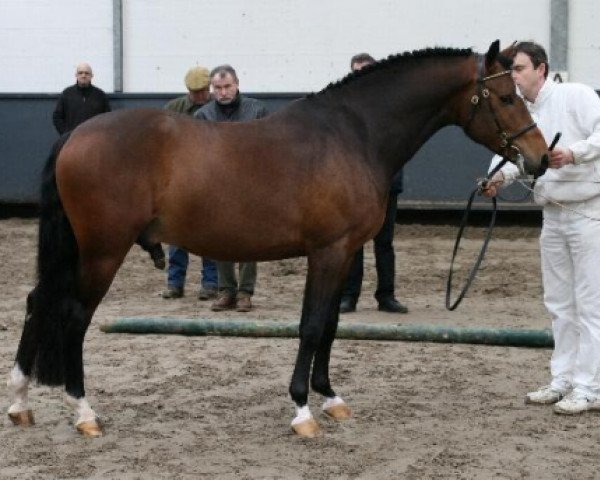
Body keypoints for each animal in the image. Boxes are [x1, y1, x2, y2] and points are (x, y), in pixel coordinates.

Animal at [7, 41, 548, 438]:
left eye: (519, 92)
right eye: (506, 97)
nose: (540, 157)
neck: (353, 134)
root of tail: (76, 135)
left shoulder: (346, 253)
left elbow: (330, 325)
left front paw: (331, 398)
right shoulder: (328, 252)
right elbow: (310, 327)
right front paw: (302, 411)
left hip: (77, 250)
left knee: (38, 302)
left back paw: (19, 401)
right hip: (103, 250)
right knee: (73, 316)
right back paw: (84, 414)